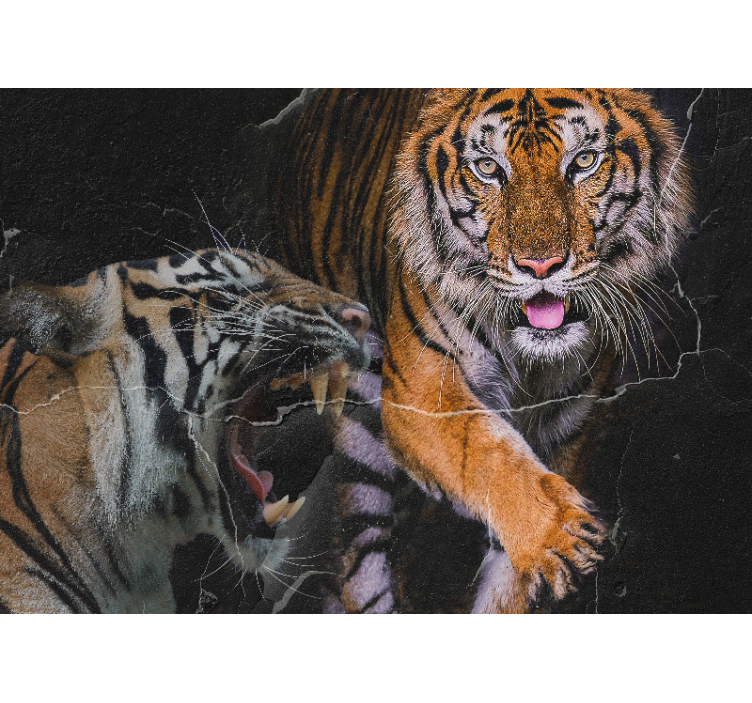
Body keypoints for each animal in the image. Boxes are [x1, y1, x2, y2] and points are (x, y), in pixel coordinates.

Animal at [231, 88, 692, 613]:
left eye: (584, 161)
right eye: (488, 168)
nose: (541, 266)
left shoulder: (566, 428)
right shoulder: (421, 391)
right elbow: (489, 454)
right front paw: (561, 535)